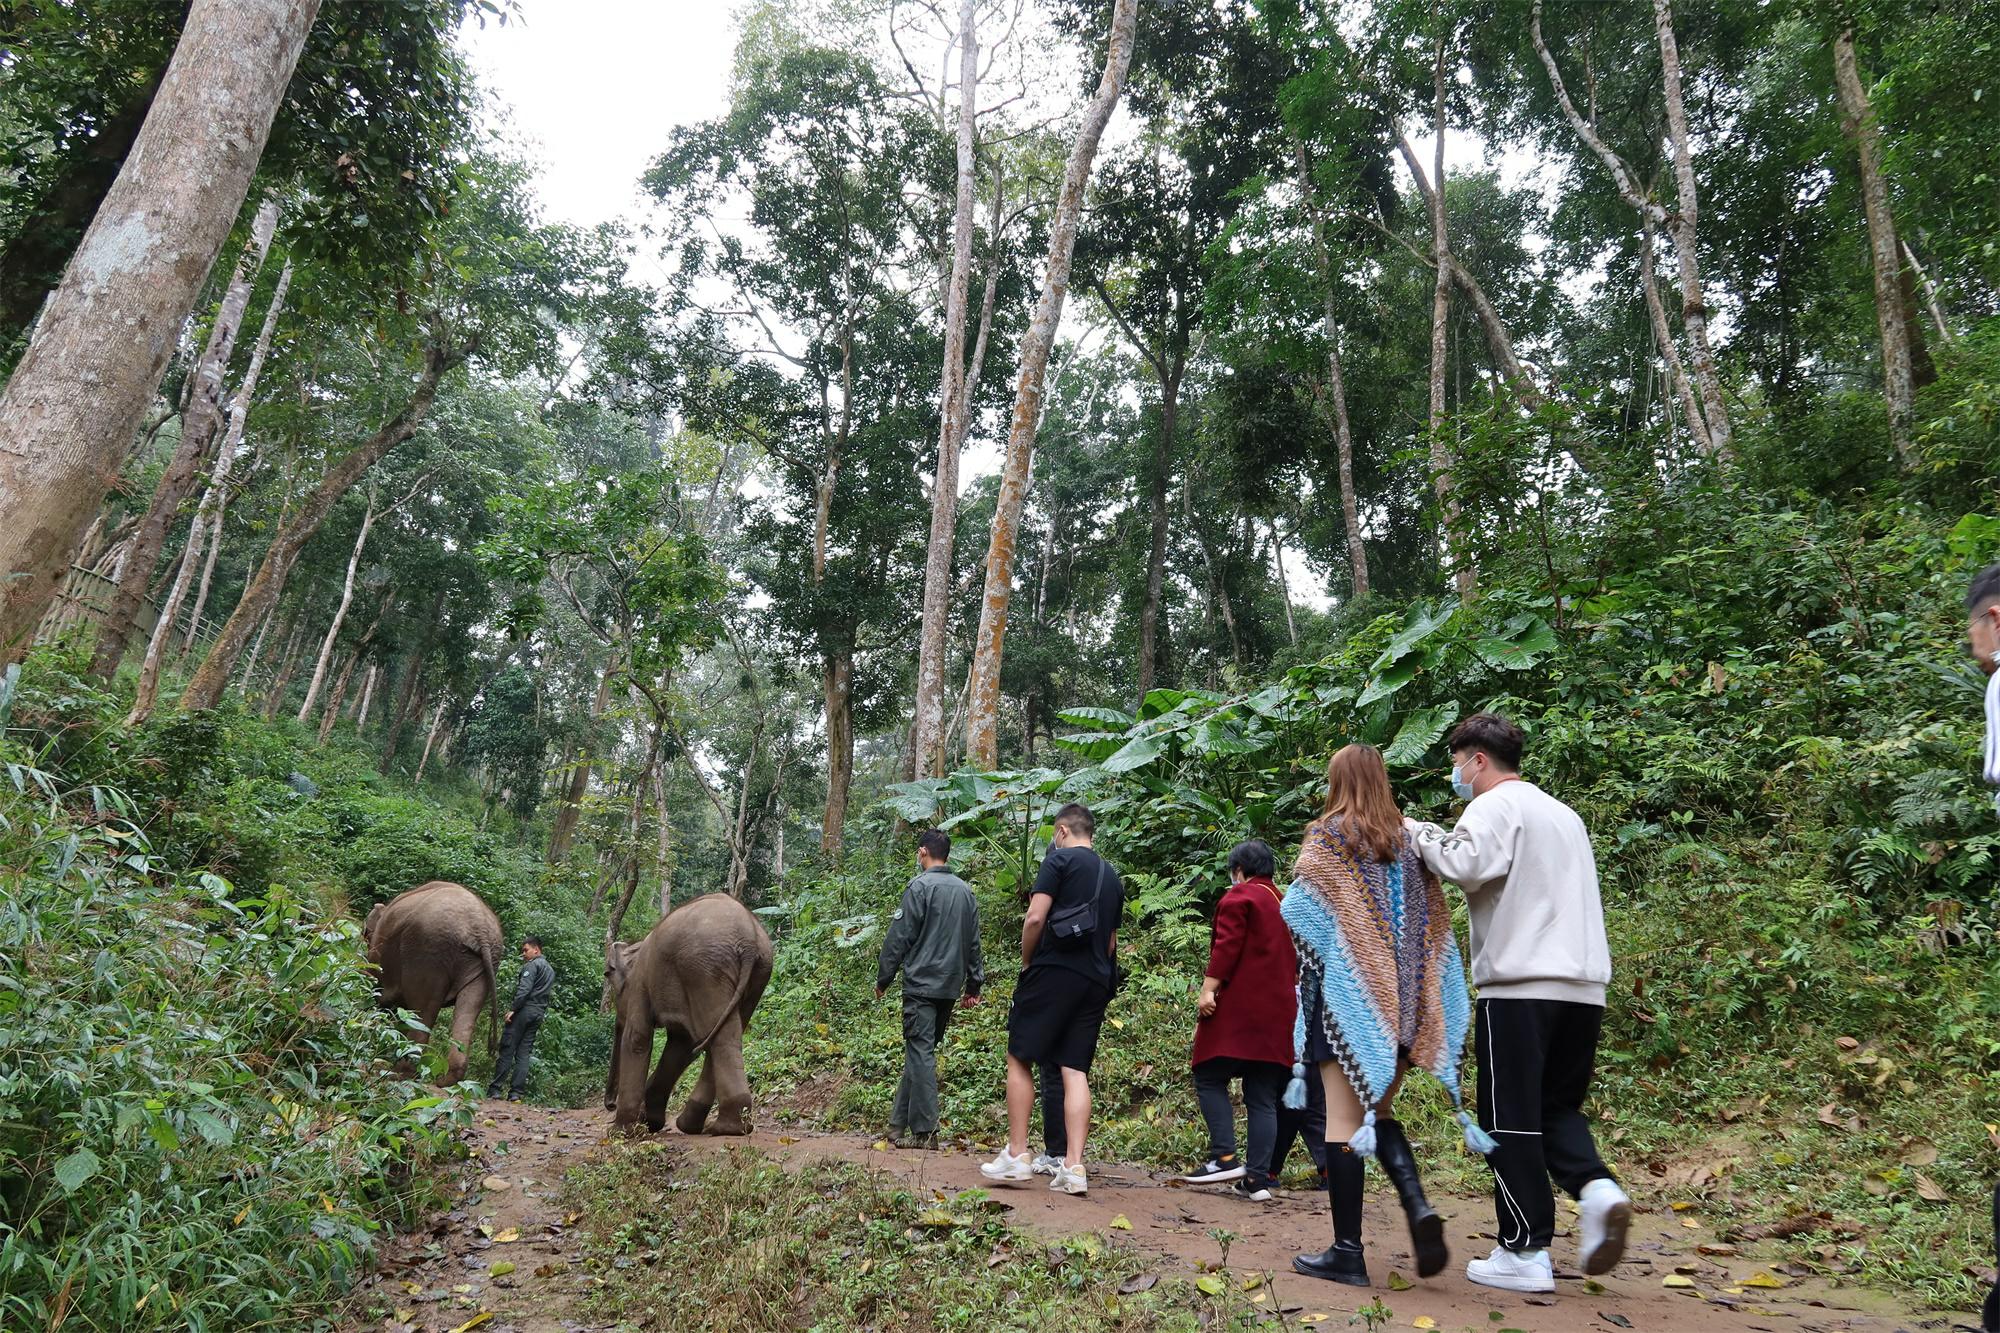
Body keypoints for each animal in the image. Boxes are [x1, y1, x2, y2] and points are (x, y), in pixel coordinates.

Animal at [362, 876, 504, 1088]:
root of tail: (480, 930)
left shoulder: (380, 948)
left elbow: (376, 987)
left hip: (427, 950)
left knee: (423, 1010)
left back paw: (399, 1073)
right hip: (482, 964)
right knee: (467, 1008)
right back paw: (443, 1080)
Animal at [600, 892, 772, 1128]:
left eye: (609, 976)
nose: (610, 1105)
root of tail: (749, 941)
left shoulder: (639, 984)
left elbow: (638, 1038)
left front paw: (622, 1130)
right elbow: (681, 1044)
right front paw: (650, 1121)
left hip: (704, 970)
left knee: (717, 1037)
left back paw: (723, 1127)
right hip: (755, 973)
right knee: (725, 1036)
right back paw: (705, 1126)